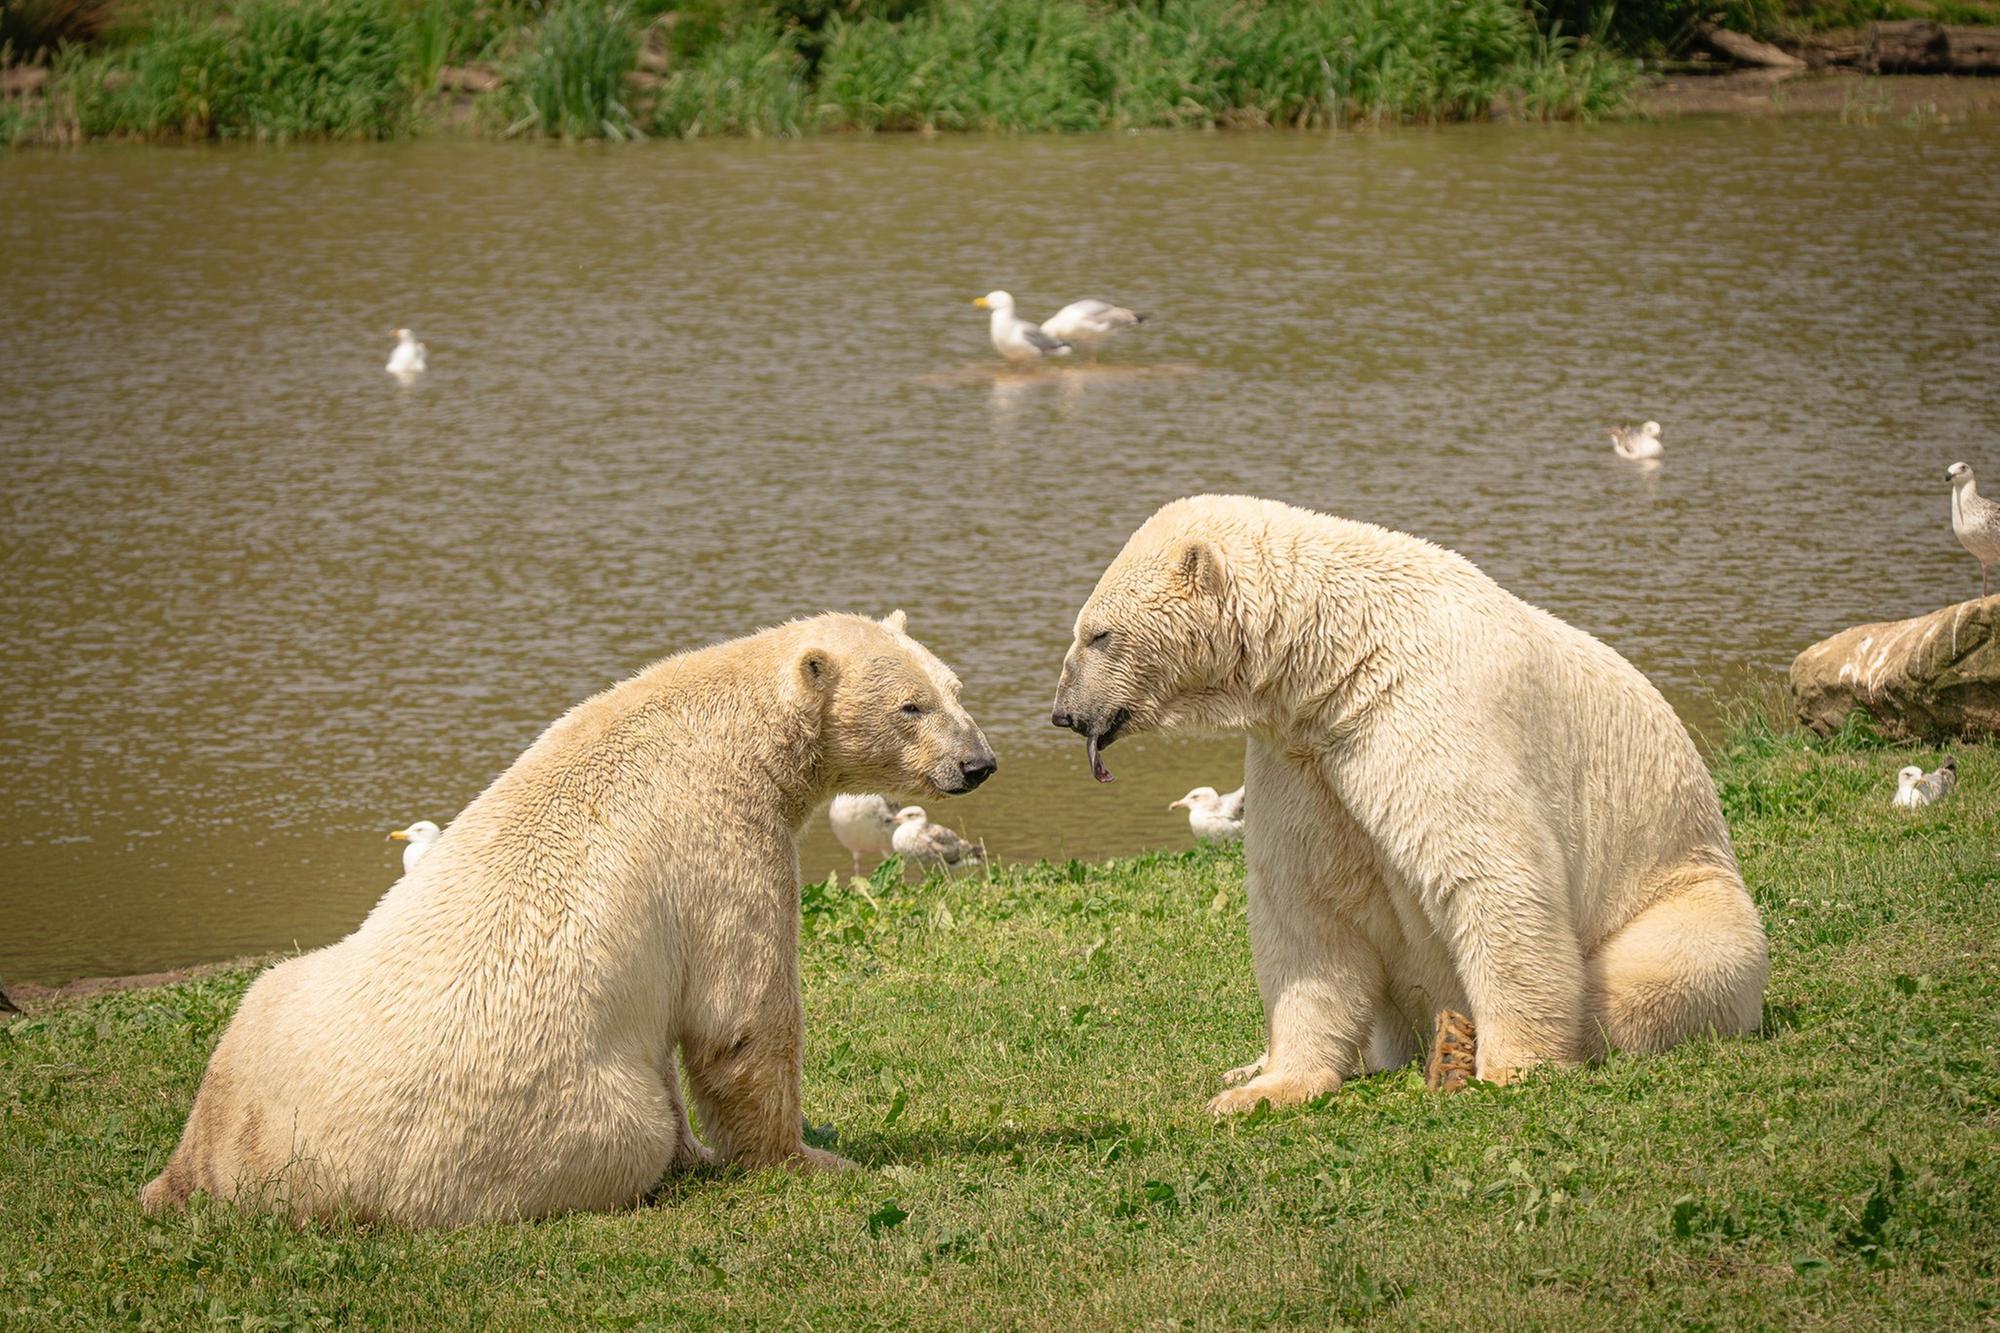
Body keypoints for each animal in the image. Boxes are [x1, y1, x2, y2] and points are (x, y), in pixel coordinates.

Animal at [140, 611, 995, 1224]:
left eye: (956, 686)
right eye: (911, 704)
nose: (978, 763)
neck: (724, 719)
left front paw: (709, 1152)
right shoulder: (723, 837)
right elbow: (741, 1018)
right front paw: (808, 1157)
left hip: (265, 1023)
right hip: (548, 1122)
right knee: (626, 1130)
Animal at [1050, 495, 1767, 1111]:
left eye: (1098, 635)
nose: (1064, 713)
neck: (1340, 653)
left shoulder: (1423, 710)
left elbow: (1491, 874)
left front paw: (1512, 1066)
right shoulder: (1303, 758)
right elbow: (1309, 908)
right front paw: (1263, 1087)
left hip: (1684, 888)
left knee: (1655, 971)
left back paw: (1457, 1048)